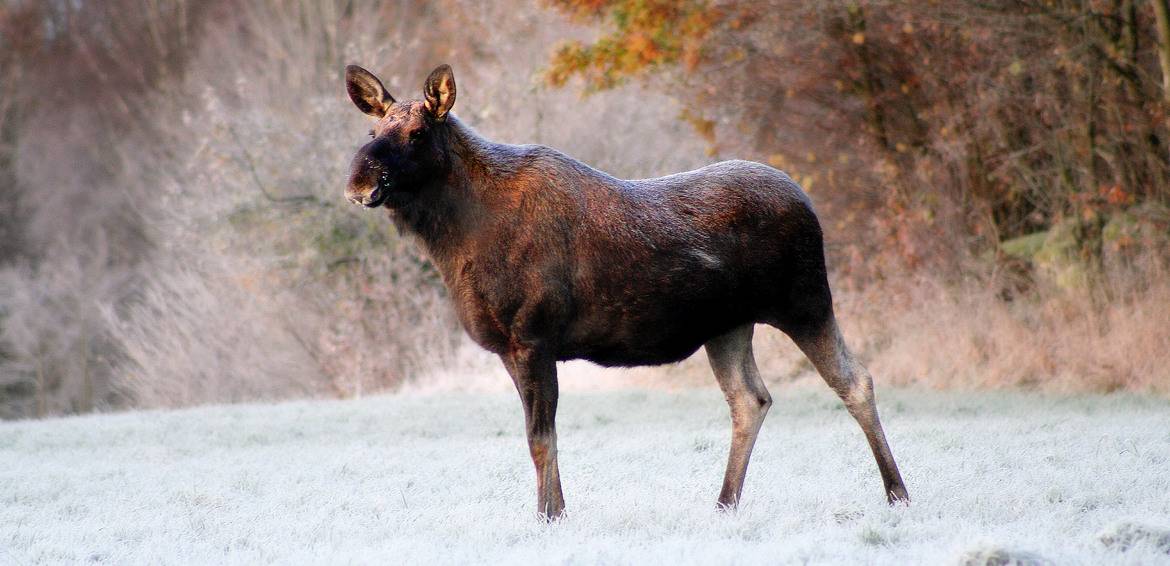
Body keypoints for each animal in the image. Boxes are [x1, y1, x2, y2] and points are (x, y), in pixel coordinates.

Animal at [341, 64, 907, 519]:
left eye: (417, 132)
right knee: (751, 399)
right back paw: (724, 503)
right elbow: (538, 438)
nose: (359, 183)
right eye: (373, 128)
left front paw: (549, 518)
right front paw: (554, 513)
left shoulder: (534, 337)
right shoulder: (509, 348)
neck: (456, 245)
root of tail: (806, 199)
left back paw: (897, 493)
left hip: (805, 301)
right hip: (728, 326)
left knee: (855, 381)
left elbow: (540, 438)